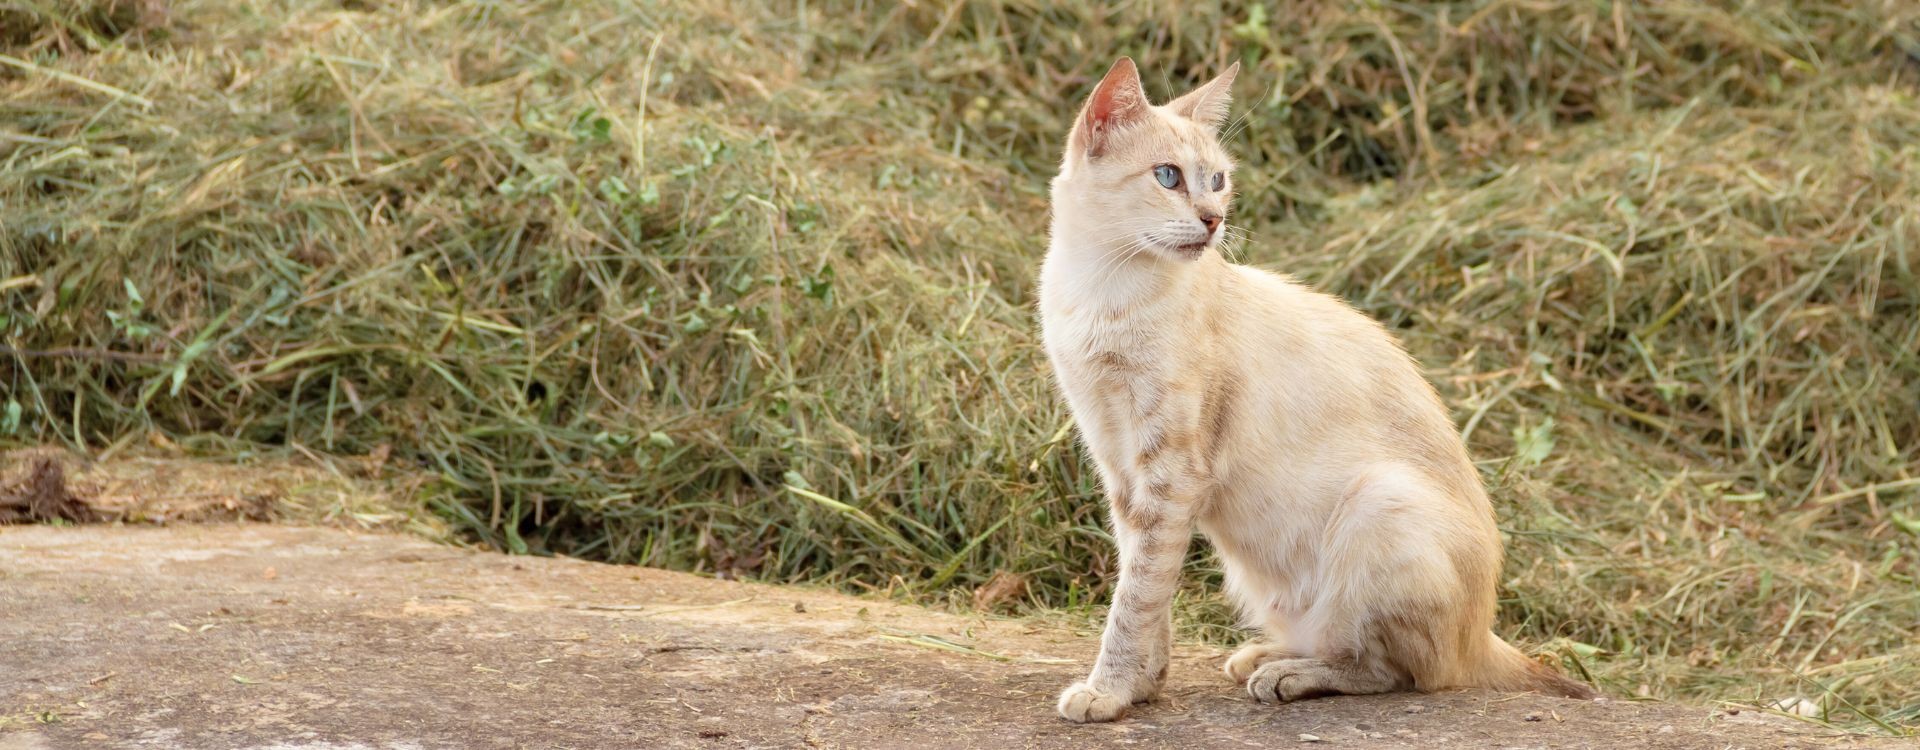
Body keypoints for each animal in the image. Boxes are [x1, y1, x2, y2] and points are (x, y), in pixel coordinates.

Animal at [1036, 60, 1589, 728]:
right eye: (1168, 177)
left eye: (1216, 181)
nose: (1213, 220)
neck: (1102, 289)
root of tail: (1483, 635)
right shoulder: (1121, 469)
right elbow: (1148, 591)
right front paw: (1143, 686)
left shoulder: (1169, 475)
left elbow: (1135, 598)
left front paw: (1109, 691)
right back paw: (1264, 655)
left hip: (1380, 501)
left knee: (1399, 672)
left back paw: (1286, 676)